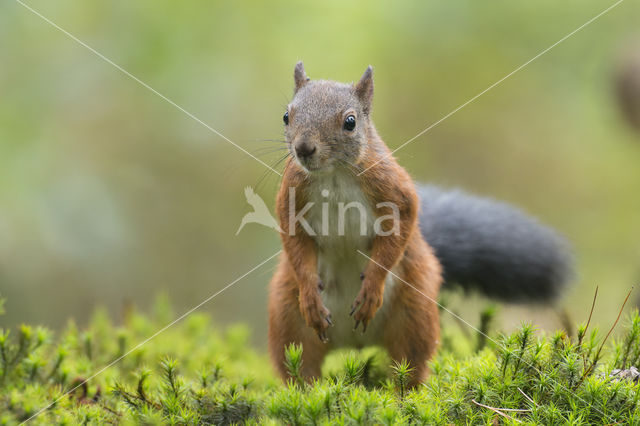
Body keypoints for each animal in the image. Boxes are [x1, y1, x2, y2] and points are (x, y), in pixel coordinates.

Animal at [268, 63, 442, 386]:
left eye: (350, 122)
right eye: (286, 116)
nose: (303, 148)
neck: (334, 174)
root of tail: (354, 343)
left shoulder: (393, 189)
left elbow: (401, 225)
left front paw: (372, 287)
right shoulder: (291, 198)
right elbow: (294, 241)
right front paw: (310, 296)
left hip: (415, 309)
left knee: (409, 363)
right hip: (286, 315)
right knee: (301, 365)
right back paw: (308, 392)